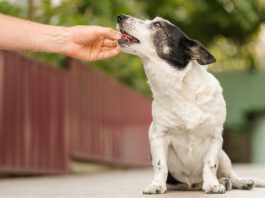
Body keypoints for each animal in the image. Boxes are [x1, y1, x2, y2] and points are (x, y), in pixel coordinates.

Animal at [116, 14, 264, 195]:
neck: (179, 88)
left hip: (223, 155)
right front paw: (156, 185)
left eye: (158, 24)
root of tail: (192, 184)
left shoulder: (215, 137)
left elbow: (210, 164)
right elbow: (160, 165)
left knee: (230, 174)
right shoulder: (159, 136)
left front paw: (212, 185)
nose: (120, 16)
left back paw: (236, 182)